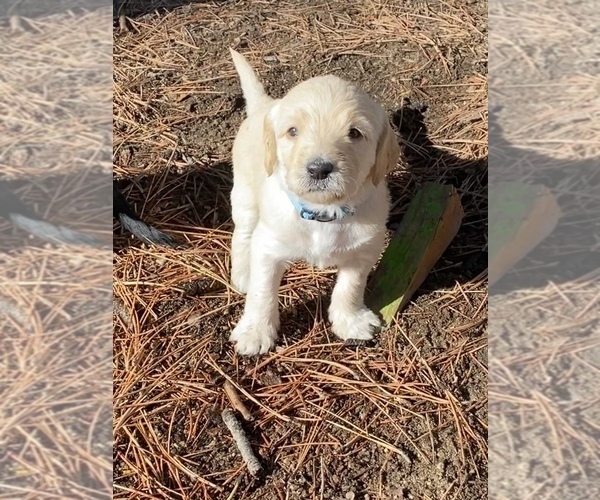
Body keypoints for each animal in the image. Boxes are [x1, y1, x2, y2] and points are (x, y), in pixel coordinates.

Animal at [227, 49, 400, 356]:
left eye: (354, 133)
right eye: (293, 131)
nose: (319, 169)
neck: (323, 212)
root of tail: (265, 105)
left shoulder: (365, 249)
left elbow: (350, 286)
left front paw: (350, 321)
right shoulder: (268, 248)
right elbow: (262, 293)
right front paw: (255, 332)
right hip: (244, 196)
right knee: (243, 235)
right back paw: (243, 273)